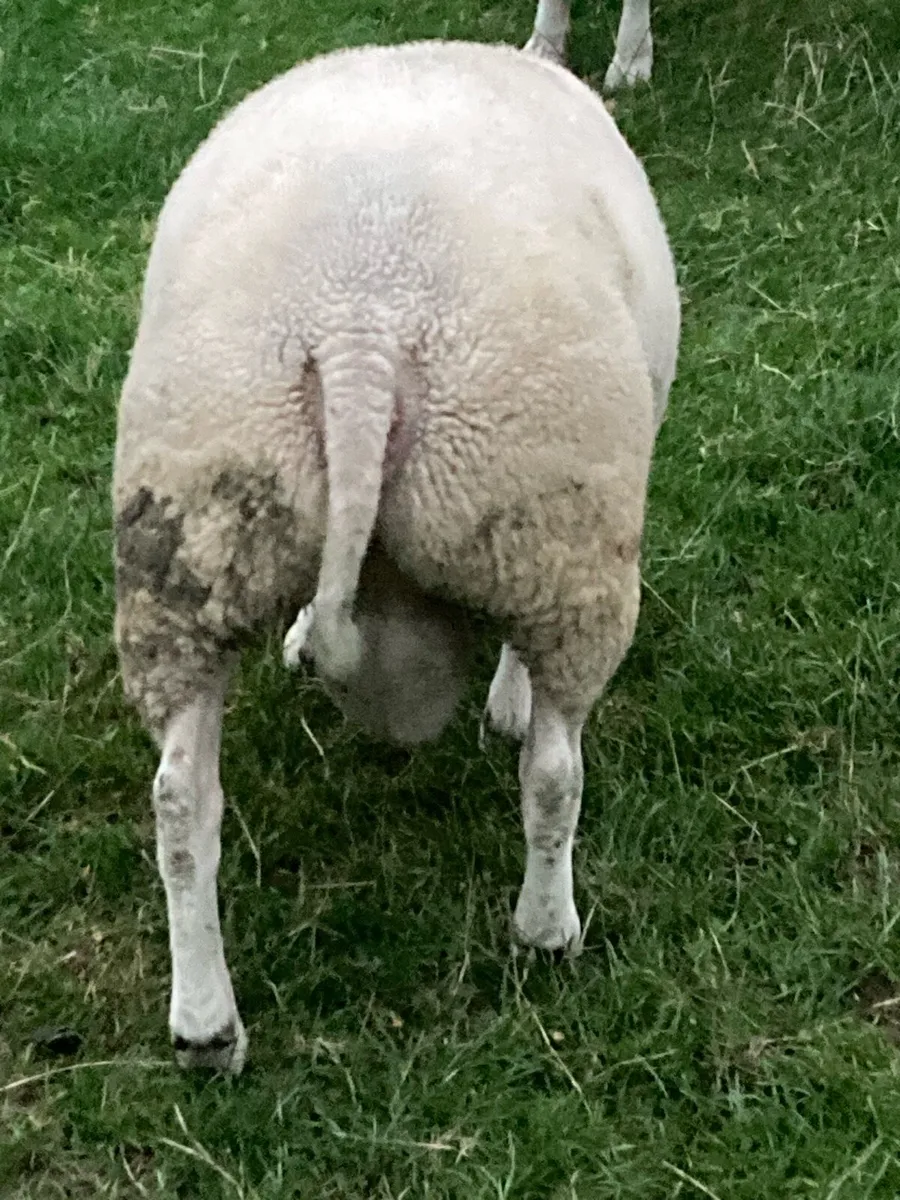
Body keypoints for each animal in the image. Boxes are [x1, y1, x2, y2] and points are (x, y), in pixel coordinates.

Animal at [113, 38, 680, 1074]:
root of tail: (359, 331)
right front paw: (506, 704)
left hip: (192, 528)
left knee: (180, 805)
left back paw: (206, 1026)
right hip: (549, 523)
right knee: (555, 773)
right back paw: (548, 927)